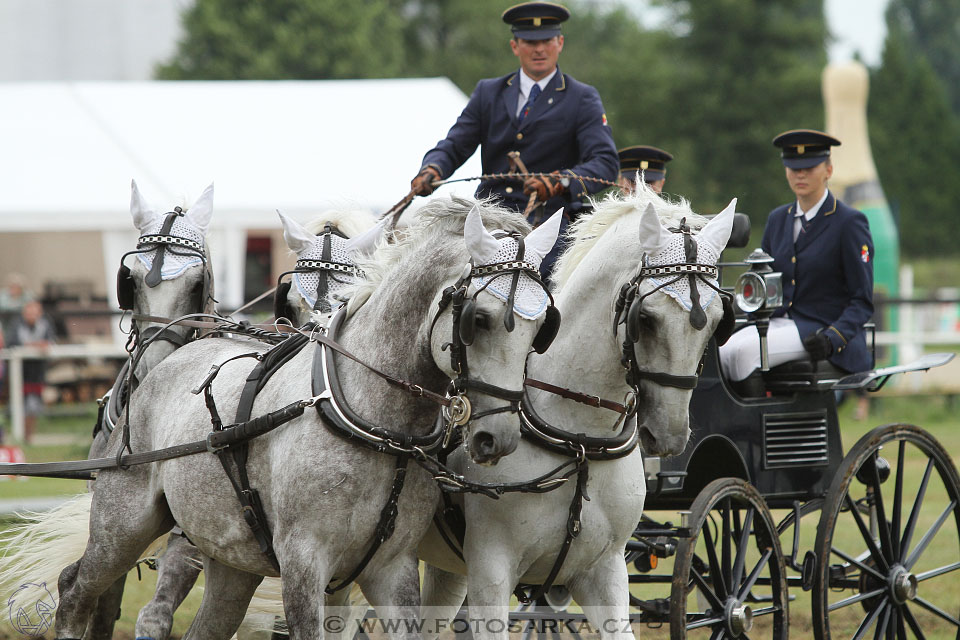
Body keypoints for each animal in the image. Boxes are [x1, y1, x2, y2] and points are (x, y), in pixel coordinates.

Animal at [48, 198, 564, 636]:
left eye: (544, 328)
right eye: (479, 319)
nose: (499, 436)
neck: (377, 423)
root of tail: (163, 364)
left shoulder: (392, 567)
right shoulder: (304, 563)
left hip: (230, 558)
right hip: (123, 526)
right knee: (76, 590)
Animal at [416, 189, 740, 640]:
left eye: (716, 324)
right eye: (646, 319)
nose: (670, 436)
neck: (579, 438)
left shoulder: (604, 570)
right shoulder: (490, 572)